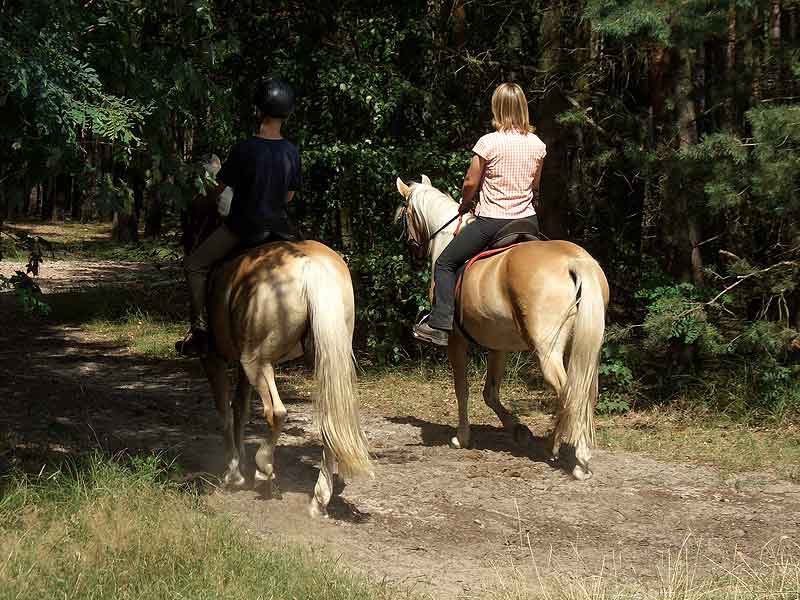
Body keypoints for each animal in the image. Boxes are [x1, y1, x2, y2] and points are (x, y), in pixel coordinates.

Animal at [184, 159, 371, 517]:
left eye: (194, 205)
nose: (187, 237)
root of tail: (311, 267)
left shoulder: (214, 358)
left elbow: (225, 411)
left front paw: (234, 473)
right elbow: (240, 409)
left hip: (257, 361)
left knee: (277, 412)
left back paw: (264, 468)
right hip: (319, 358)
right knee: (328, 420)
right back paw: (319, 498)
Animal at [395, 176, 609, 480]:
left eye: (405, 215)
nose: (413, 252)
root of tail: (574, 261)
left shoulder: (456, 341)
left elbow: (462, 388)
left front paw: (462, 437)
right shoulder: (498, 345)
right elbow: (490, 393)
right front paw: (519, 430)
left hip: (548, 351)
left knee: (570, 393)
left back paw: (579, 460)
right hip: (584, 347)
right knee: (582, 391)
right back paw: (555, 446)